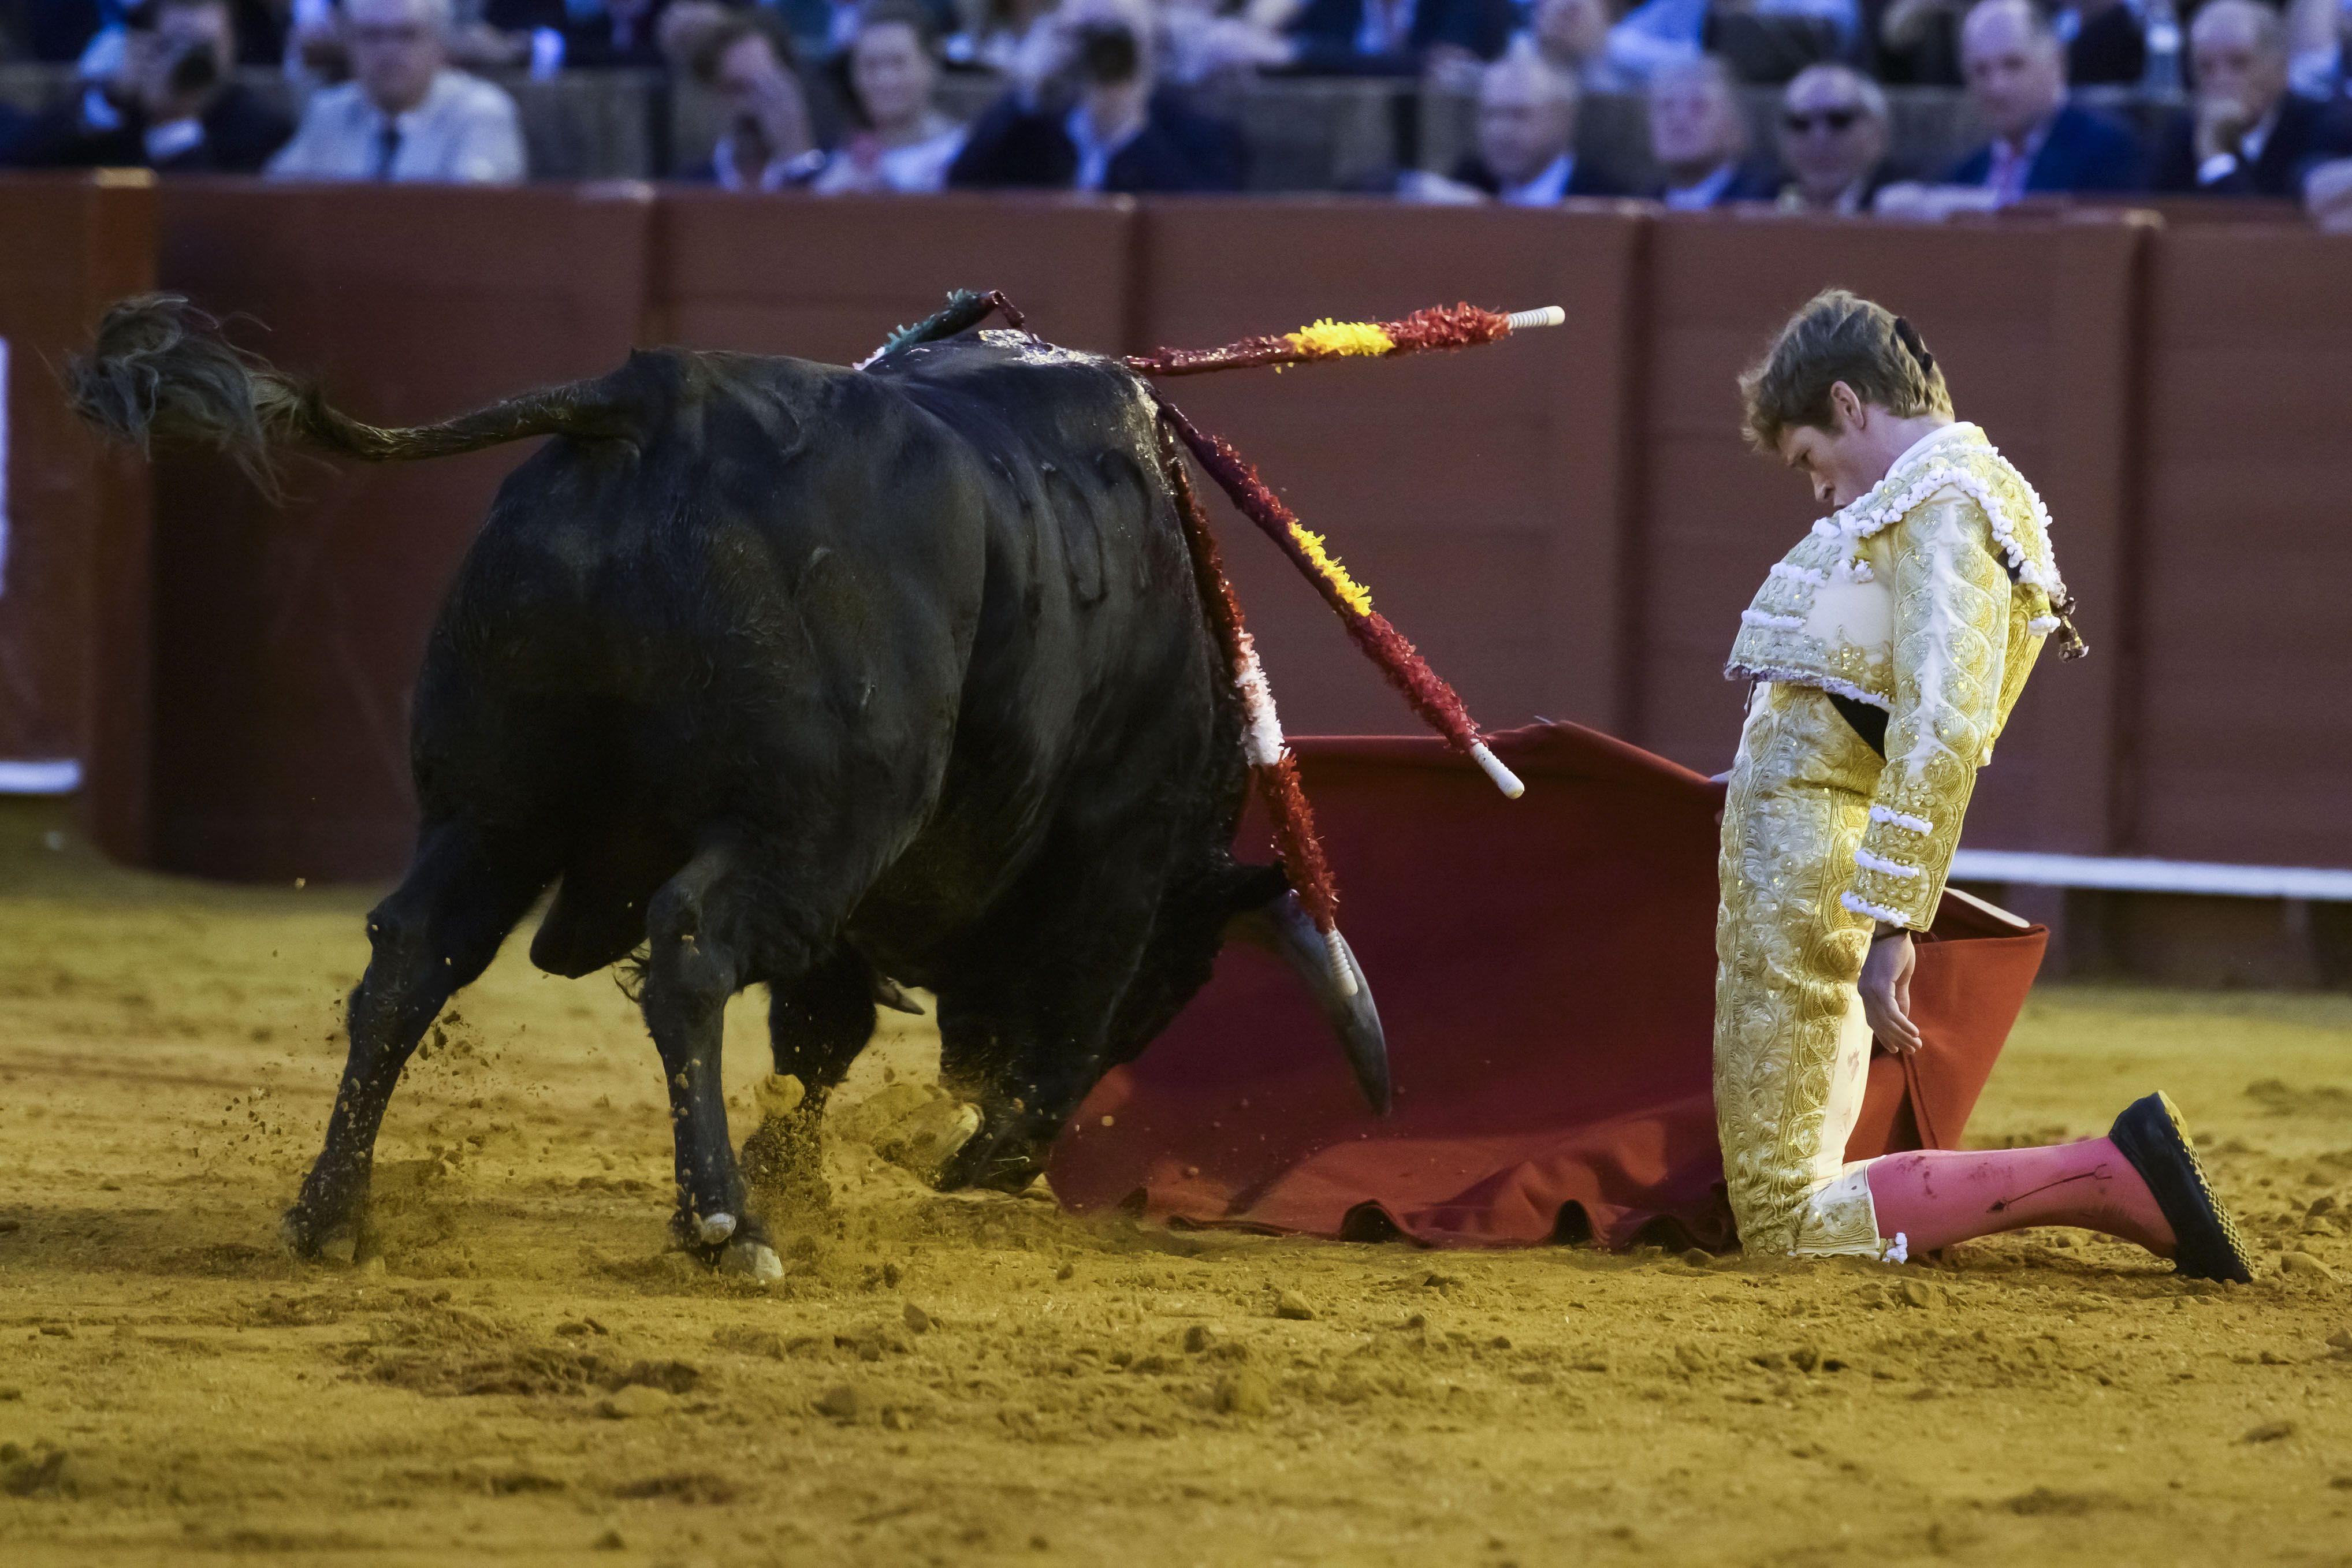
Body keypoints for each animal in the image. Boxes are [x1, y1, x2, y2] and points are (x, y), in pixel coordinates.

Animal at [73, 293, 1383, 1279]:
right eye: (1177, 983)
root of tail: (656, 397)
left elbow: (820, 1041)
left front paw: (814, 1174)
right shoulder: (1107, 867)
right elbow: (1037, 1044)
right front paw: (957, 1160)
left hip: (490, 808)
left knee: (411, 955)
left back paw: (332, 1212)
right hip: (805, 828)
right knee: (691, 952)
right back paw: (724, 1225)